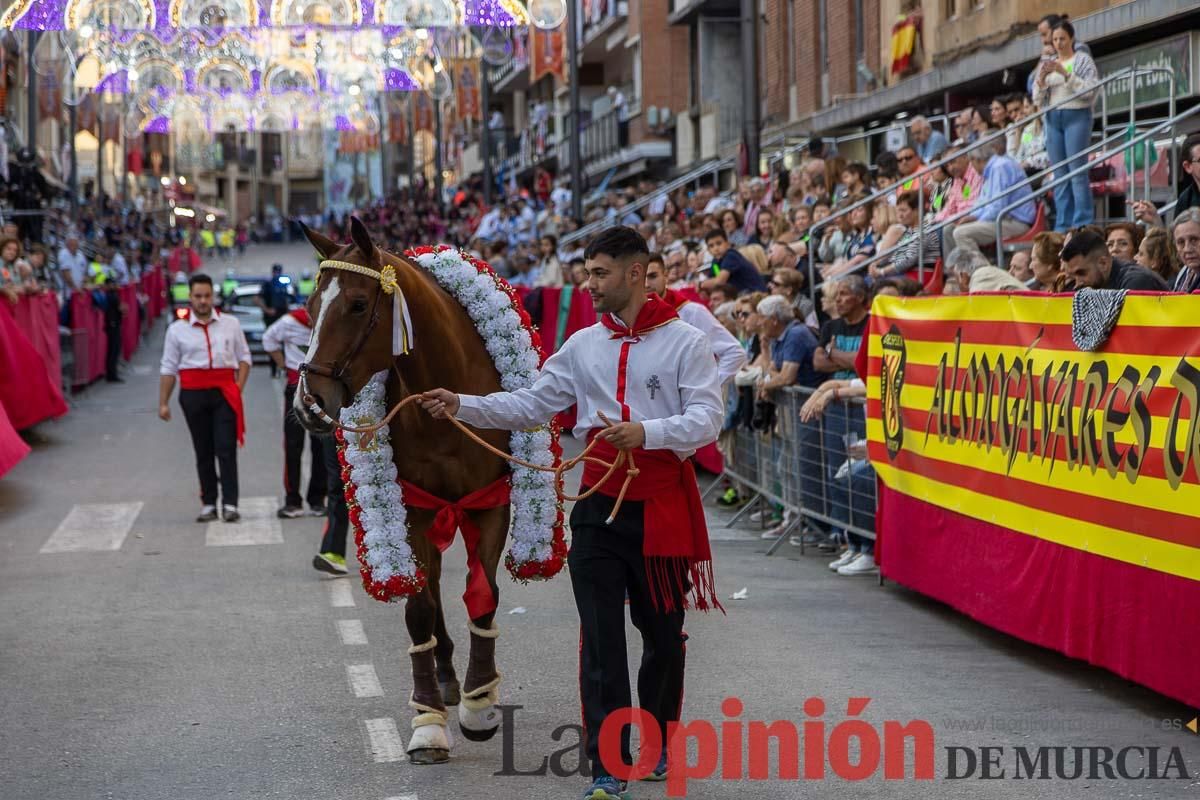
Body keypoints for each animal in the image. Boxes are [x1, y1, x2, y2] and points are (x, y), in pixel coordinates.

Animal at [297, 217, 513, 762]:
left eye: (357, 304)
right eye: (309, 305)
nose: (309, 403)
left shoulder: (491, 505)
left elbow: (484, 595)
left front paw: (480, 705)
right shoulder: (414, 508)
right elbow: (419, 609)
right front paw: (429, 720)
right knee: (431, 587)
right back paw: (444, 676)